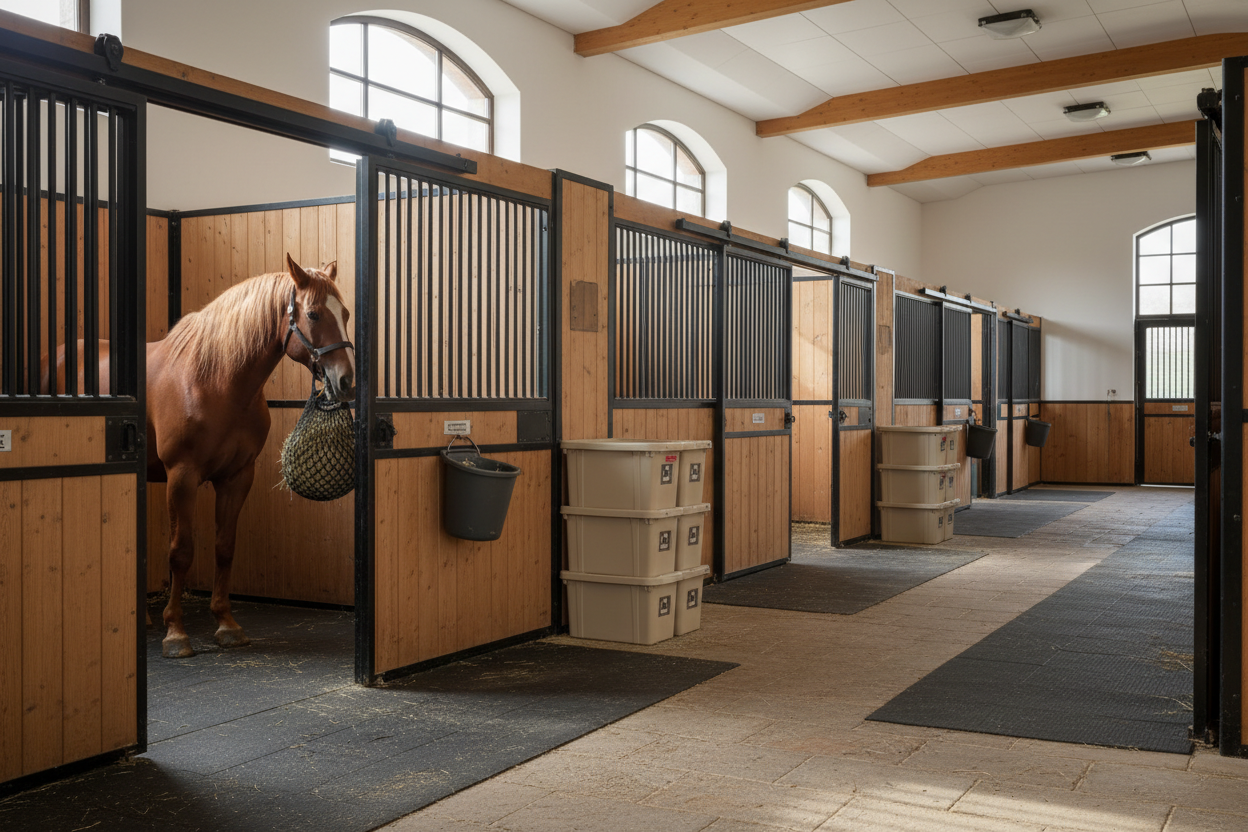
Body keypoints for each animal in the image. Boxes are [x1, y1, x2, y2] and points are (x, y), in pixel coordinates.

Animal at [44, 255, 355, 658]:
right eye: (315, 314)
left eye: (345, 313)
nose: (346, 381)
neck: (217, 379)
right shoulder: (182, 476)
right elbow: (181, 551)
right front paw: (176, 633)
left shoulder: (237, 477)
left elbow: (224, 547)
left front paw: (226, 624)